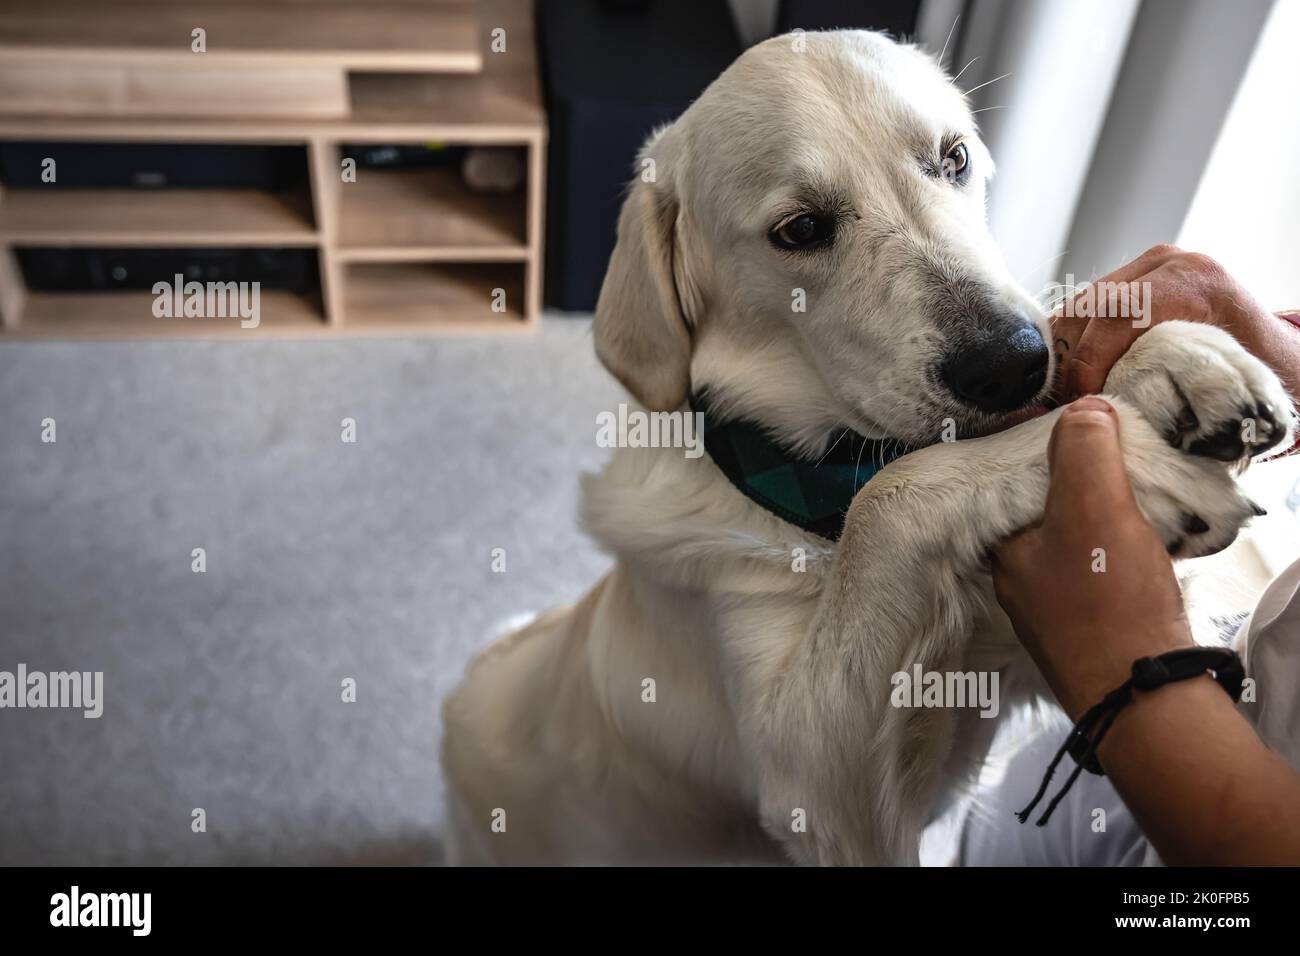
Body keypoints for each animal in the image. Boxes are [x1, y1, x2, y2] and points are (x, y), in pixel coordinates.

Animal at [441, 29, 1294, 868]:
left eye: (954, 157)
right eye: (800, 230)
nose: (1012, 364)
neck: (817, 480)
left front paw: (1176, 357)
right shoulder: (812, 784)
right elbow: (891, 495)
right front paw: (1124, 453)